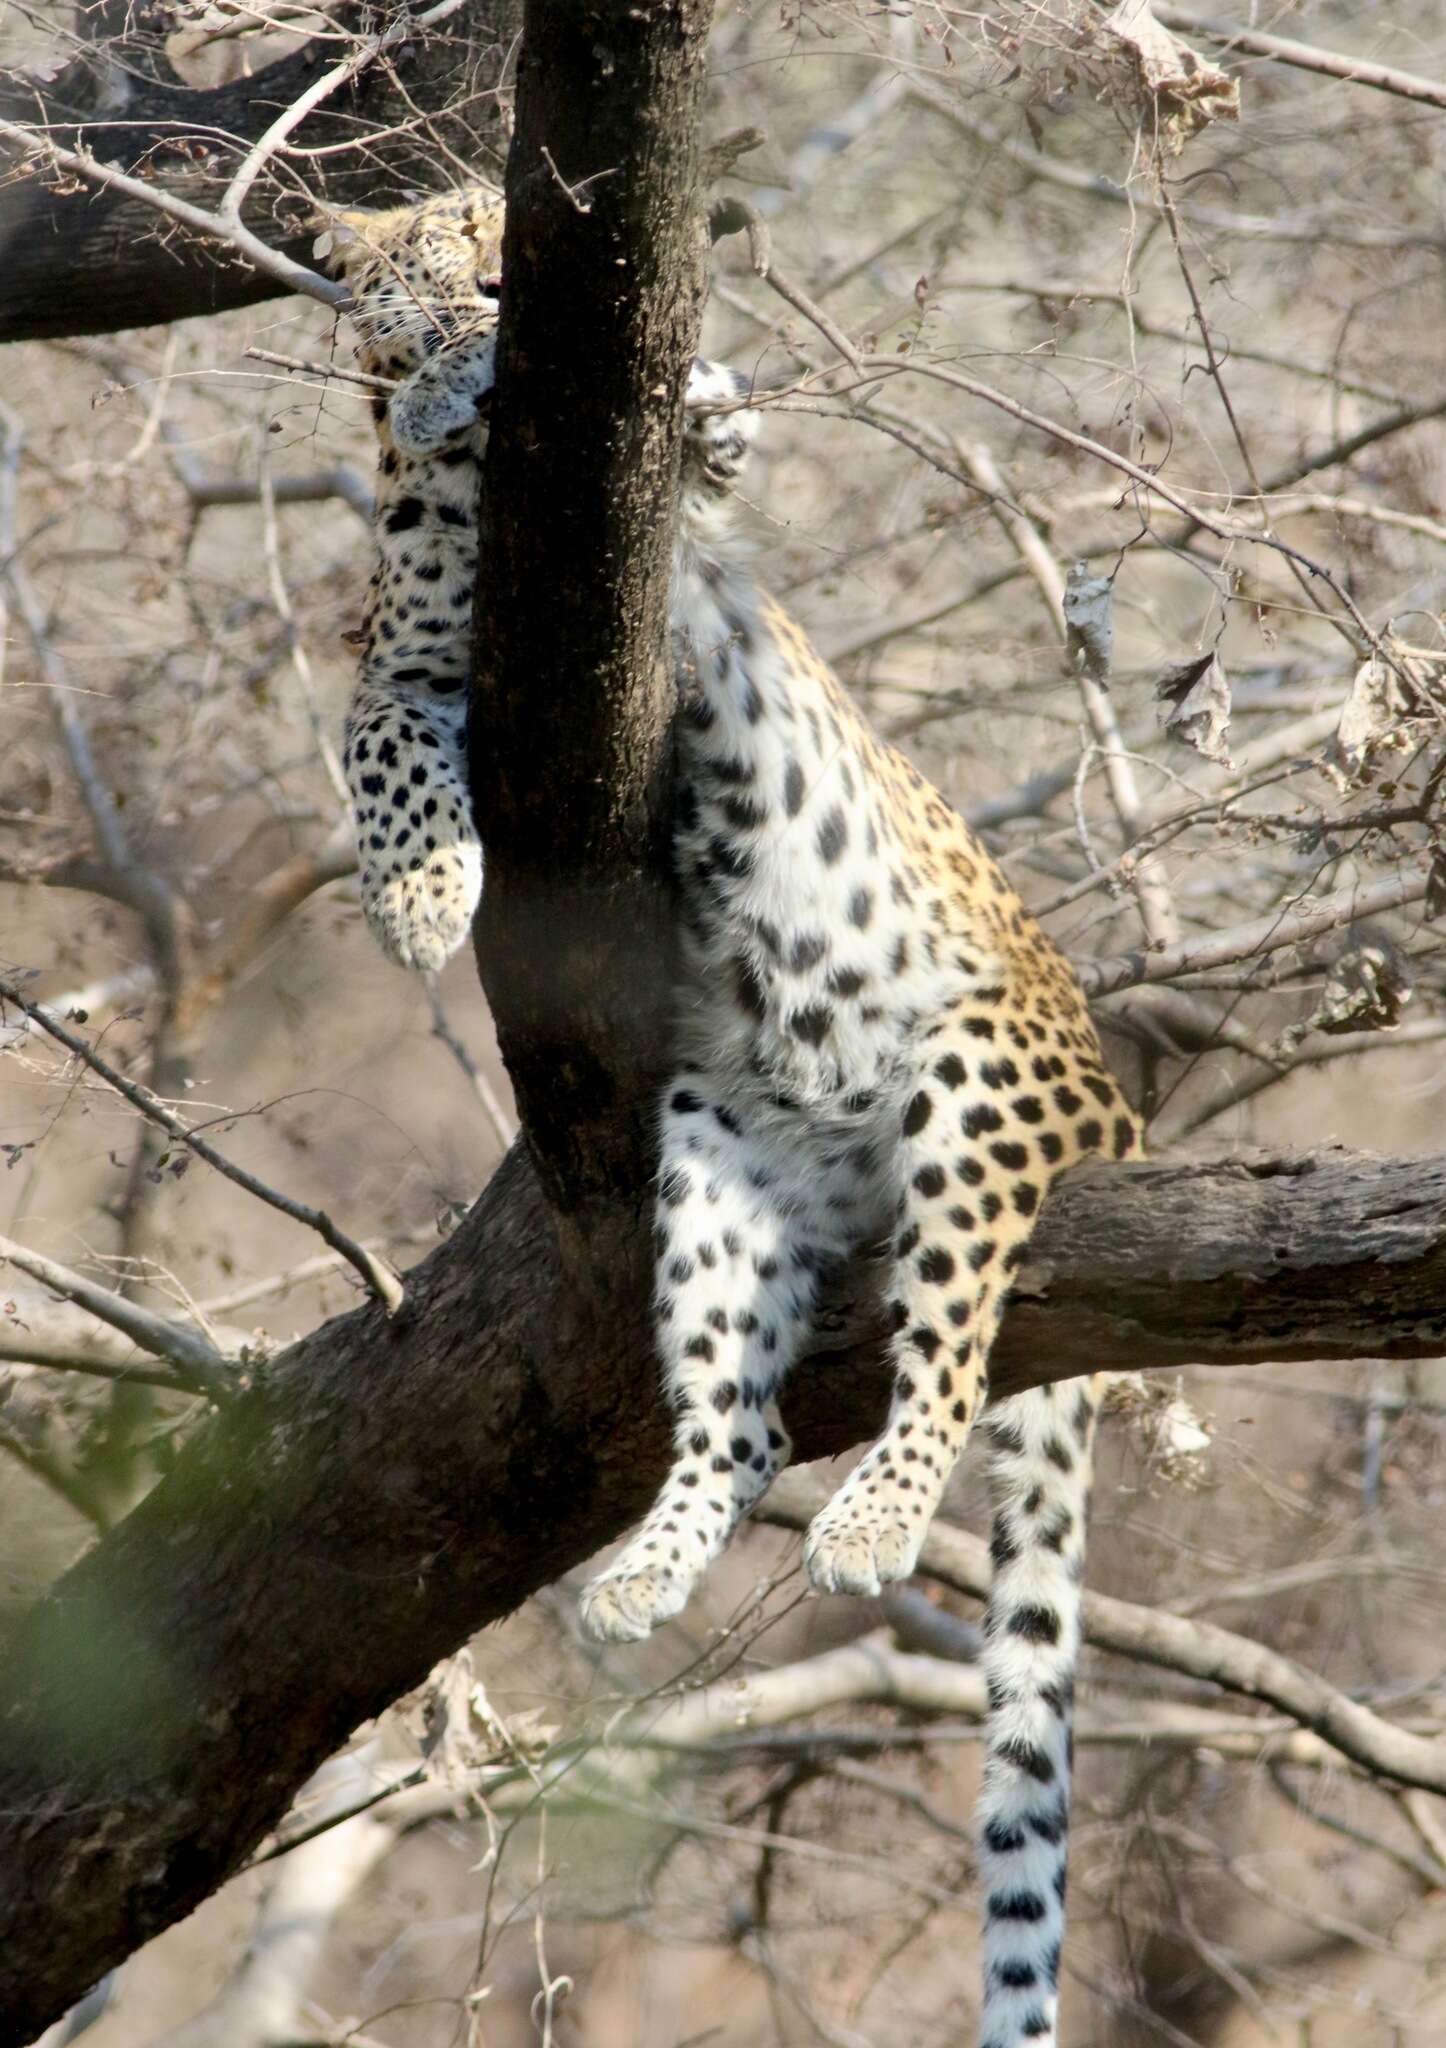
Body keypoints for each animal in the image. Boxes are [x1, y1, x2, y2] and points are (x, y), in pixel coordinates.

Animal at [317, 184, 1138, 2048]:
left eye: (506, 221)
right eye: (439, 240)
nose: (502, 281)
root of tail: (1120, 1101)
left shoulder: (694, 521)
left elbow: (716, 421)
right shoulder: (406, 655)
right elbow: (373, 729)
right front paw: (417, 895)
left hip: (975, 1079)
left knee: (953, 1342)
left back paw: (875, 1518)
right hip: (712, 1156)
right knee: (740, 1420)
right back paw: (644, 1571)